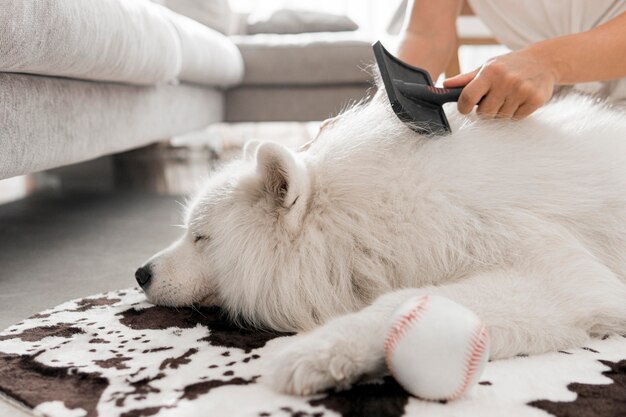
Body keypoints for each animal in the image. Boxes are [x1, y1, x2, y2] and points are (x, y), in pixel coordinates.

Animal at [136, 89, 624, 394]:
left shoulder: (556, 276)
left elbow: (401, 302)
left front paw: (314, 353)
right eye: (188, 231)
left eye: (201, 237)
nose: (140, 273)